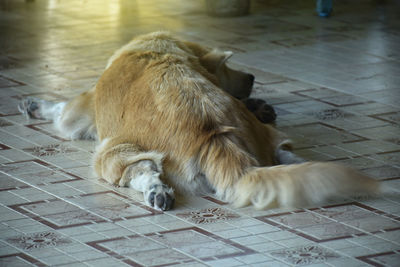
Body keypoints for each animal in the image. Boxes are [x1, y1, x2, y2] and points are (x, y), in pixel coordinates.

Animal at [19, 31, 382, 211]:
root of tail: (217, 137)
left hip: (113, 152)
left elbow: (60, 110)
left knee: (142, 172)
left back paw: (157, 193)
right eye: (227, 68)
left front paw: (35, 104)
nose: (251, 77)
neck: (161, 49)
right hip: (262, 135)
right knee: (283, 152)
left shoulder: (80, 109)